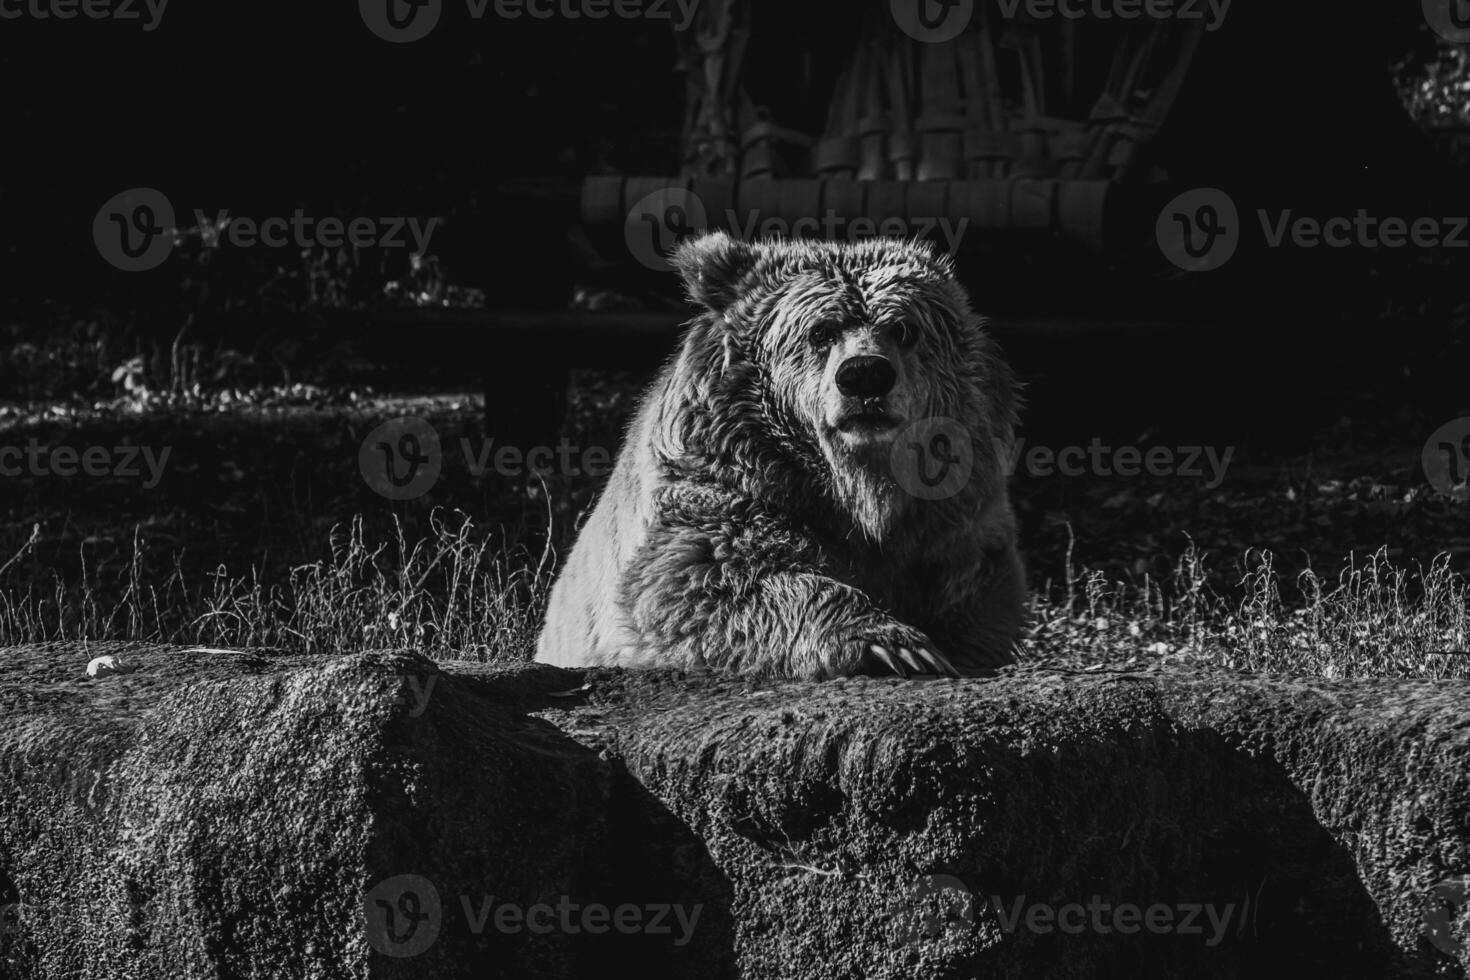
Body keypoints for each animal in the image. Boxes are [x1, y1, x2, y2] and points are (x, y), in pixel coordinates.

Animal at [535, 233, 1029, 678]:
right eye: (821, 331)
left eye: (904, 329)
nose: (865, 374)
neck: (856, 489)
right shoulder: (727, 480)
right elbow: (708, 575)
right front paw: (898, 645)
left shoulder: (951, 524)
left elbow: (976, 604)